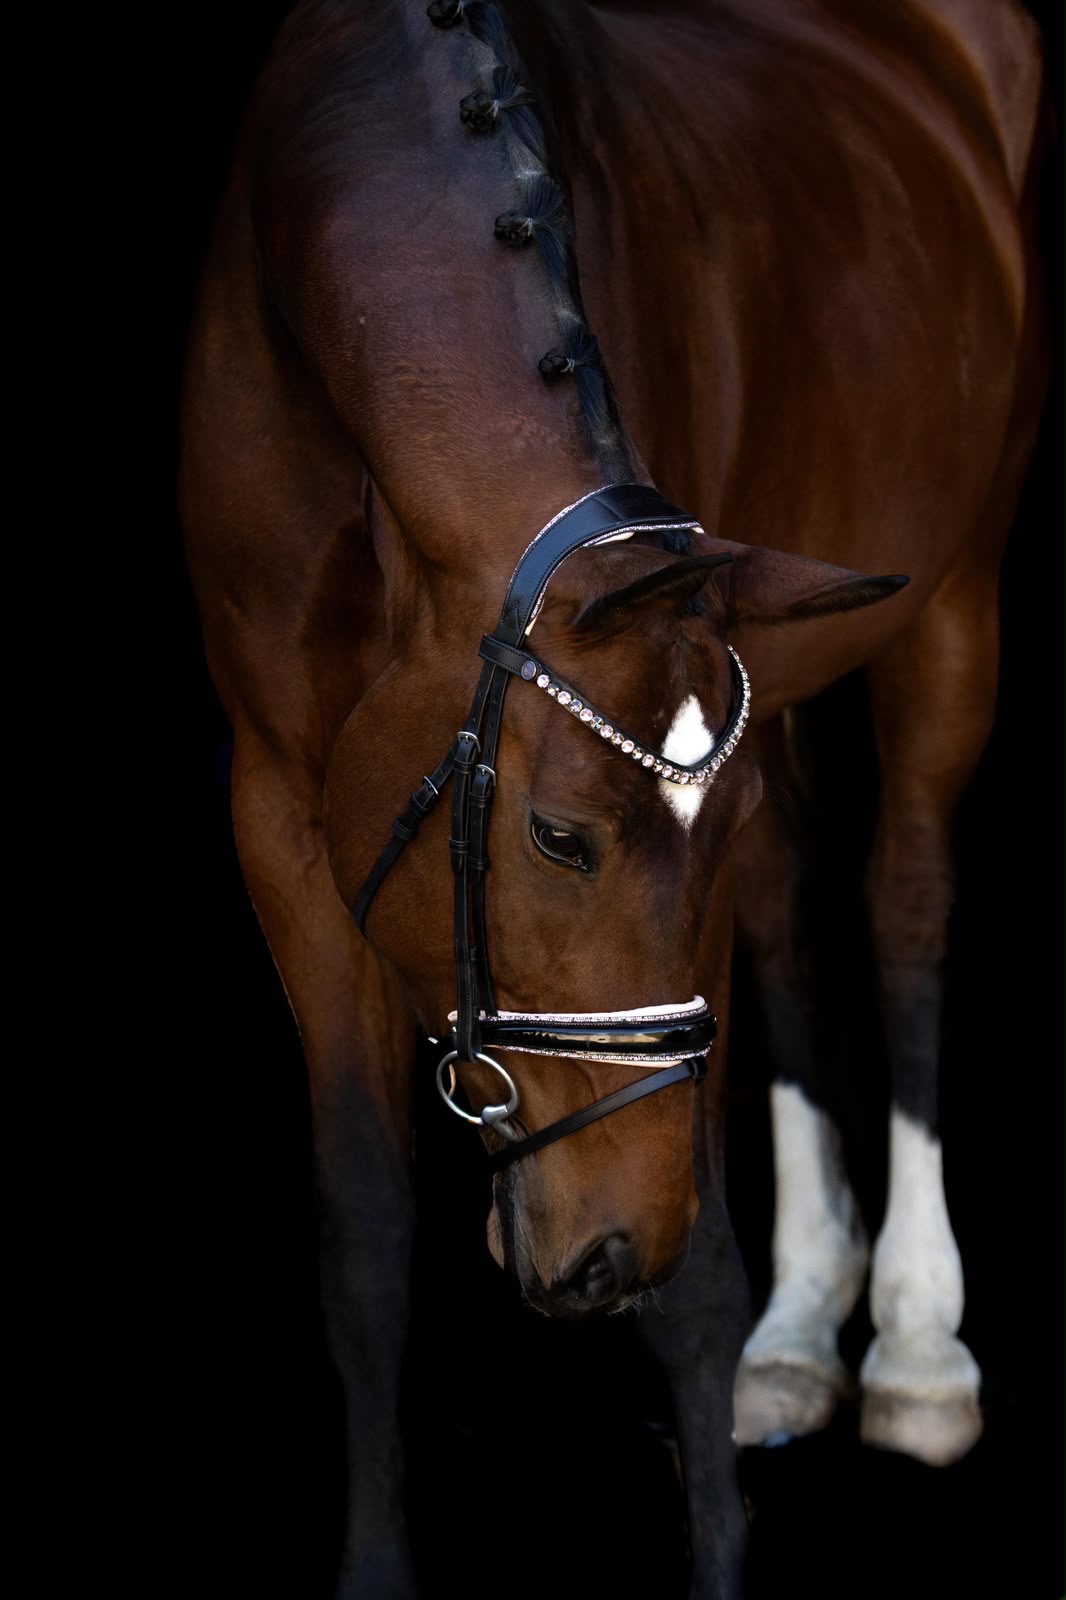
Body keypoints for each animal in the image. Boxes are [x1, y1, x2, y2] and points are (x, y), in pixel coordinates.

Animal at [179, 2, 1049, 1595]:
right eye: (556, 836)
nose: (602, 1258)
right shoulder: (275, 807)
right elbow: (363, 1231)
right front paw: (376, 1565)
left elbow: (694, 1265)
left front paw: (719, 1551)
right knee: (794, 913)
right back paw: (799, 1330)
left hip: (957, 590)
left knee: (903, 900)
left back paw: (908, 1338)